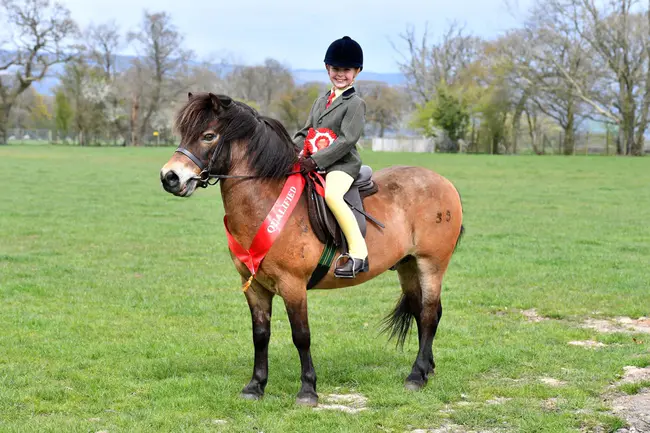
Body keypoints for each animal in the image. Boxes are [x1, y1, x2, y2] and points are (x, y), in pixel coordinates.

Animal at [160, 92, 464, 404]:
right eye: (184, 133)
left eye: (208, 135)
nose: (169, 177)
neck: (265, 199)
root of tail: (444, 183)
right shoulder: (254, 285)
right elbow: (260, 334)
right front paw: (255, 386)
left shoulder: (292, 285)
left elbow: (301, 335)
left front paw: (307, 390)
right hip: (408, 265)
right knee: (422, 311)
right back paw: (427, 369)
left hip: (431, 263)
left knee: (428, 314)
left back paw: (416, 376)